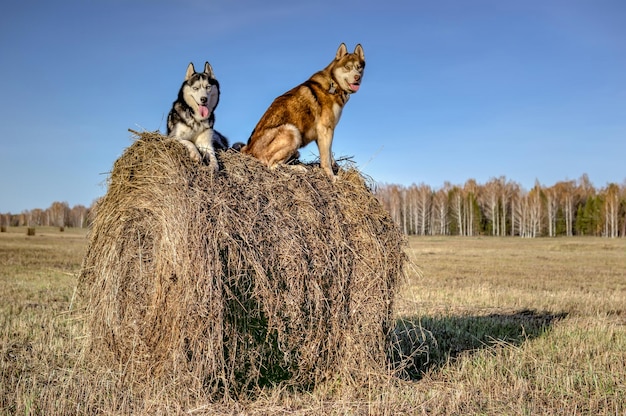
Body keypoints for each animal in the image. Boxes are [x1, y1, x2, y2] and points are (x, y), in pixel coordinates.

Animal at [240, 43, 366, 180]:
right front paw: (332, 177)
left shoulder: (323, 133)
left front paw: (336, 169)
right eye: (347, 67)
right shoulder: (325, 129)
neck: (334, 83)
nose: (357, 77)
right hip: (292, 131)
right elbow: (326, 159)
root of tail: (248, 150)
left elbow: (329, 154)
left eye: (359, 68)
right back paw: (296, 170)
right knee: (271, 164)